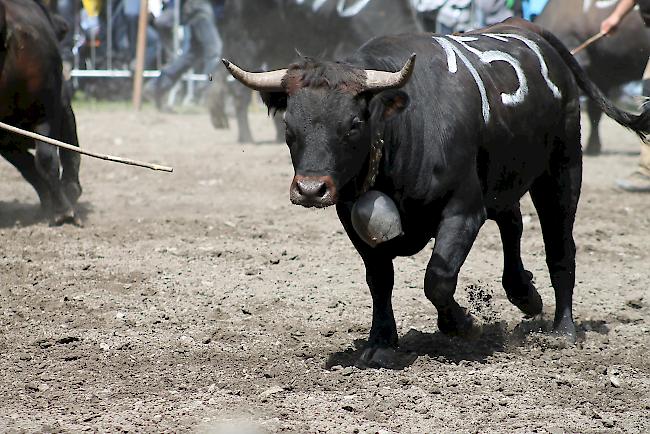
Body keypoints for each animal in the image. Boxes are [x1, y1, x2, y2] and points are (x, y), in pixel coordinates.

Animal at [224, 18, 648, 368]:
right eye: (289, 126)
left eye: (354, 123)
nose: (311, 189)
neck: (404, 127)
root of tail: (531, 32)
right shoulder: (351, 218)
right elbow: (380, 280)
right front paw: (381, 344)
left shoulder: (464, 210)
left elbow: (438, 277)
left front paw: (463, 324)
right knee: (512, 224)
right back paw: (525, 294)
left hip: (562, 168)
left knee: (560, 245)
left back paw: (563, 329)